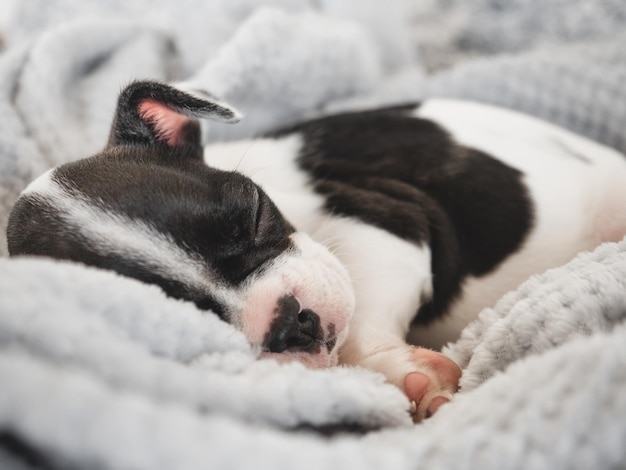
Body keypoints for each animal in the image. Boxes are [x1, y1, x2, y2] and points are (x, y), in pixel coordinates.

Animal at [6, 79, 624, 420]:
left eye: (255, 211)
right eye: (191, 319)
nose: (292, 321)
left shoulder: (385, 217)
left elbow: (361, 301)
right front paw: (402, 376)